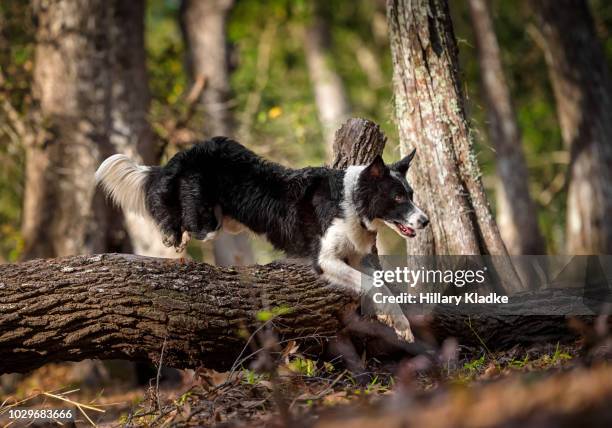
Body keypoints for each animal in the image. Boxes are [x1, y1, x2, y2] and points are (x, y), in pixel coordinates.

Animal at [97, 139, 430, 340]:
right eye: (397, 197)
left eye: (411, 194)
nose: (425, 221)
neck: (351, 201)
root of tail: (183, 156)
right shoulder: (325, 260)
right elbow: (370, 285)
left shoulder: (358, 257)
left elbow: (382, 288)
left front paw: (399, 324)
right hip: (206, 221)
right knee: (179, 220)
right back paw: (172, 238)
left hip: (227, 221)